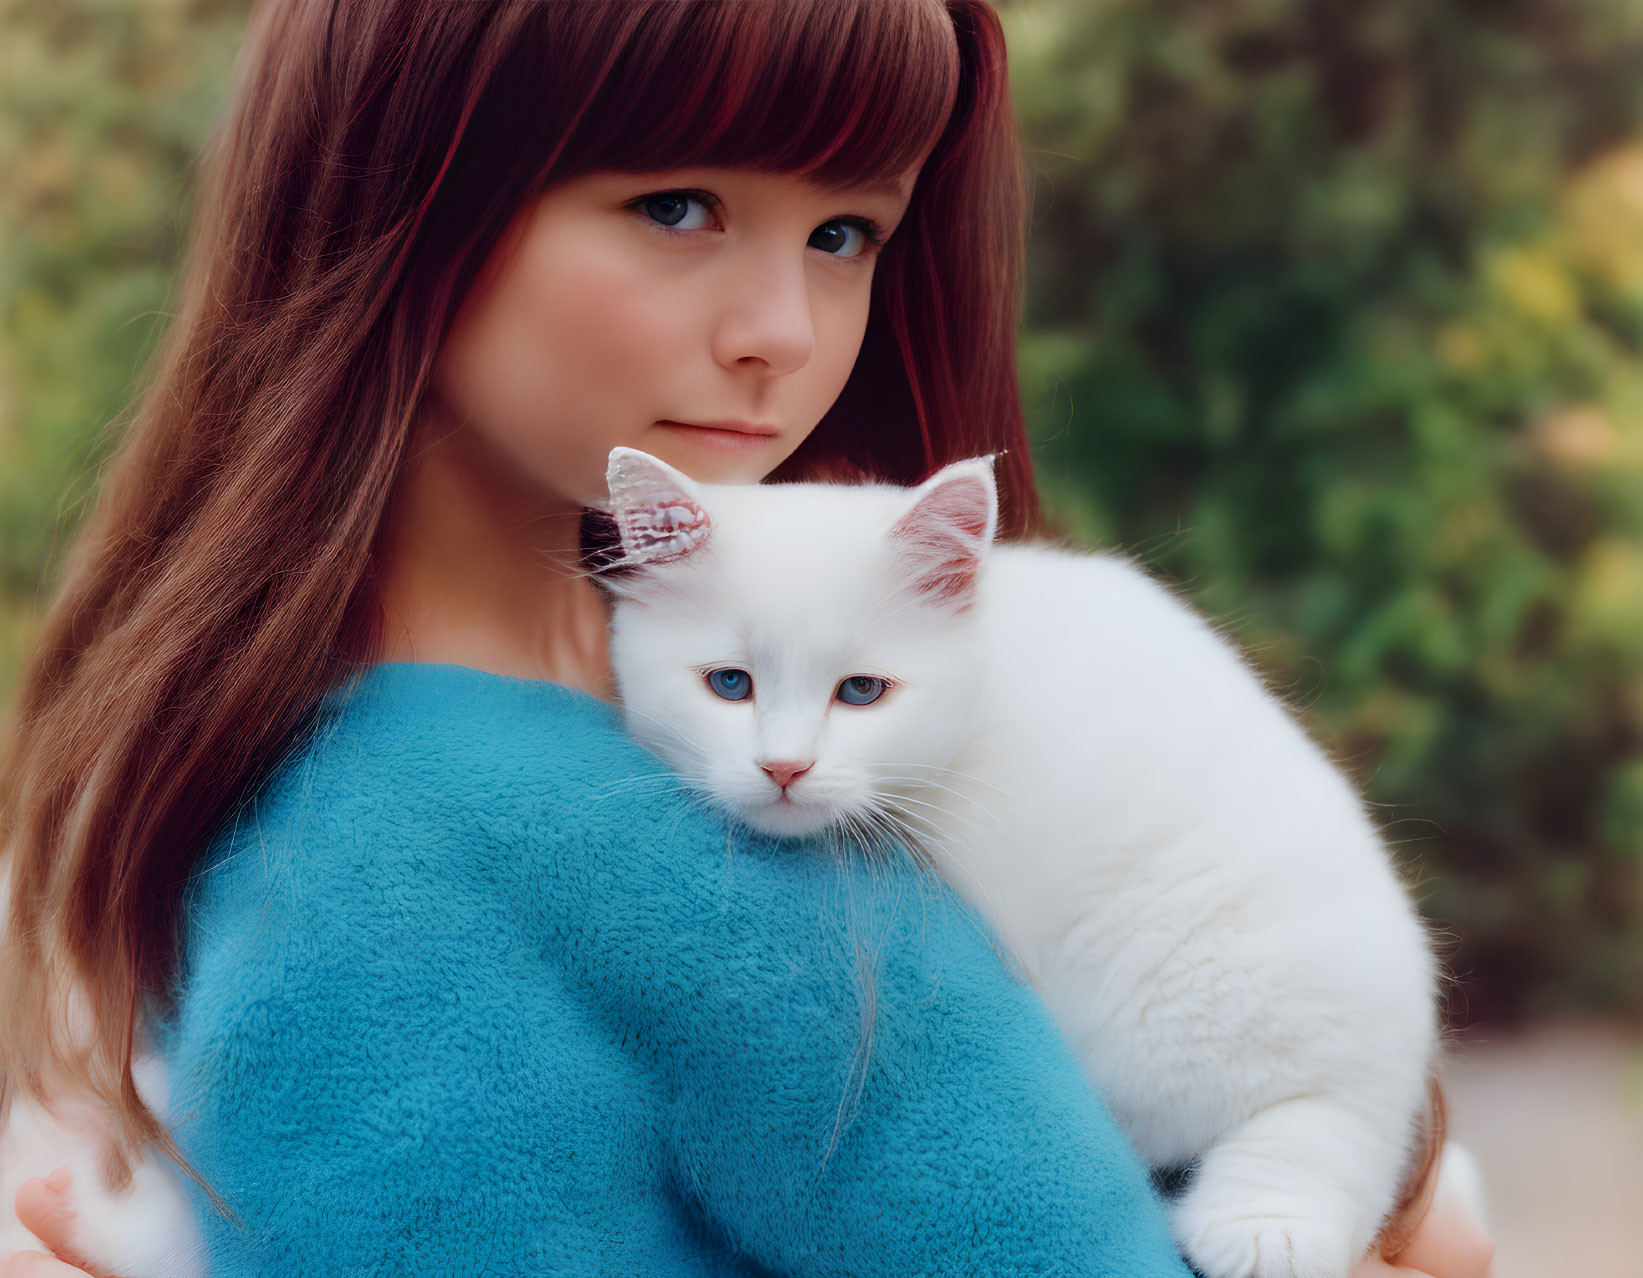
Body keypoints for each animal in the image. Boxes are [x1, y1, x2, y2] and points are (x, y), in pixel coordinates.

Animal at [601, 446, 1439, 1274]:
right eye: (729, 684)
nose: (783, 768)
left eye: (862, 691)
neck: (978, 698)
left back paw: (1264, 1228)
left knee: (1335, 1113)